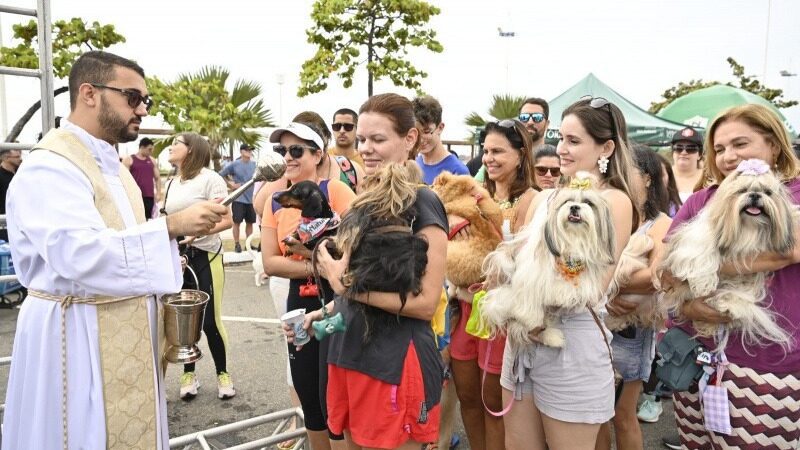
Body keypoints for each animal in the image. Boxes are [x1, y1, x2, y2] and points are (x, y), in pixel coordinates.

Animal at [478, 173, 616, 348]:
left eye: (588, 203)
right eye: (567, 201)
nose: (574, 207)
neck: (572, 240)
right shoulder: (527, 275)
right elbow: (528, 301)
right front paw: (530, 317)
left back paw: (552, 337)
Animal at [660, 159, 796, 352]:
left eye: (768, 192)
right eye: (742, 190)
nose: (755, 195)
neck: (748, 229)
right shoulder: (698, 237)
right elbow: (703, 253)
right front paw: (704, 283)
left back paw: (726, 305)